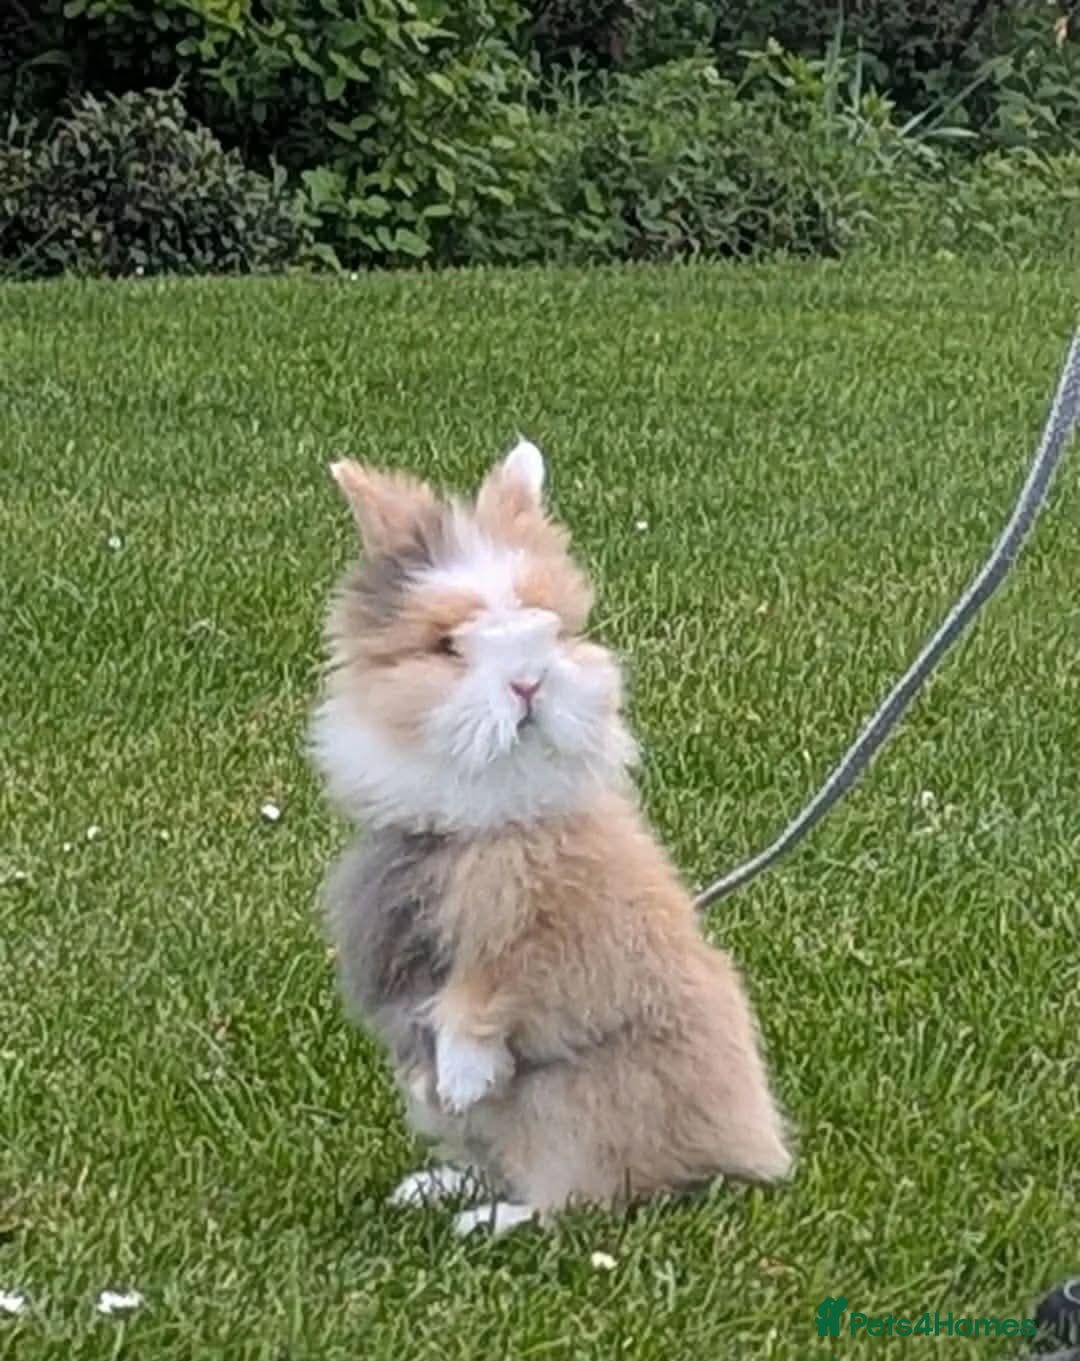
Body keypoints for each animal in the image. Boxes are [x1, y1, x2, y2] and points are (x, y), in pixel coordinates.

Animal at [311, 438, 792, 1236]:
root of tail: (746, 1149)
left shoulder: (541, 929)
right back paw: (433, 1188)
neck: (484, 816)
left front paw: (463, 1072)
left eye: (555, 629)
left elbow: (489, 992)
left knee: (577, 1196)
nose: (529, 683)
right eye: (447, 645)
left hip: (575, 1107)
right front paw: (444, 1086)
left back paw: (489, 1221)